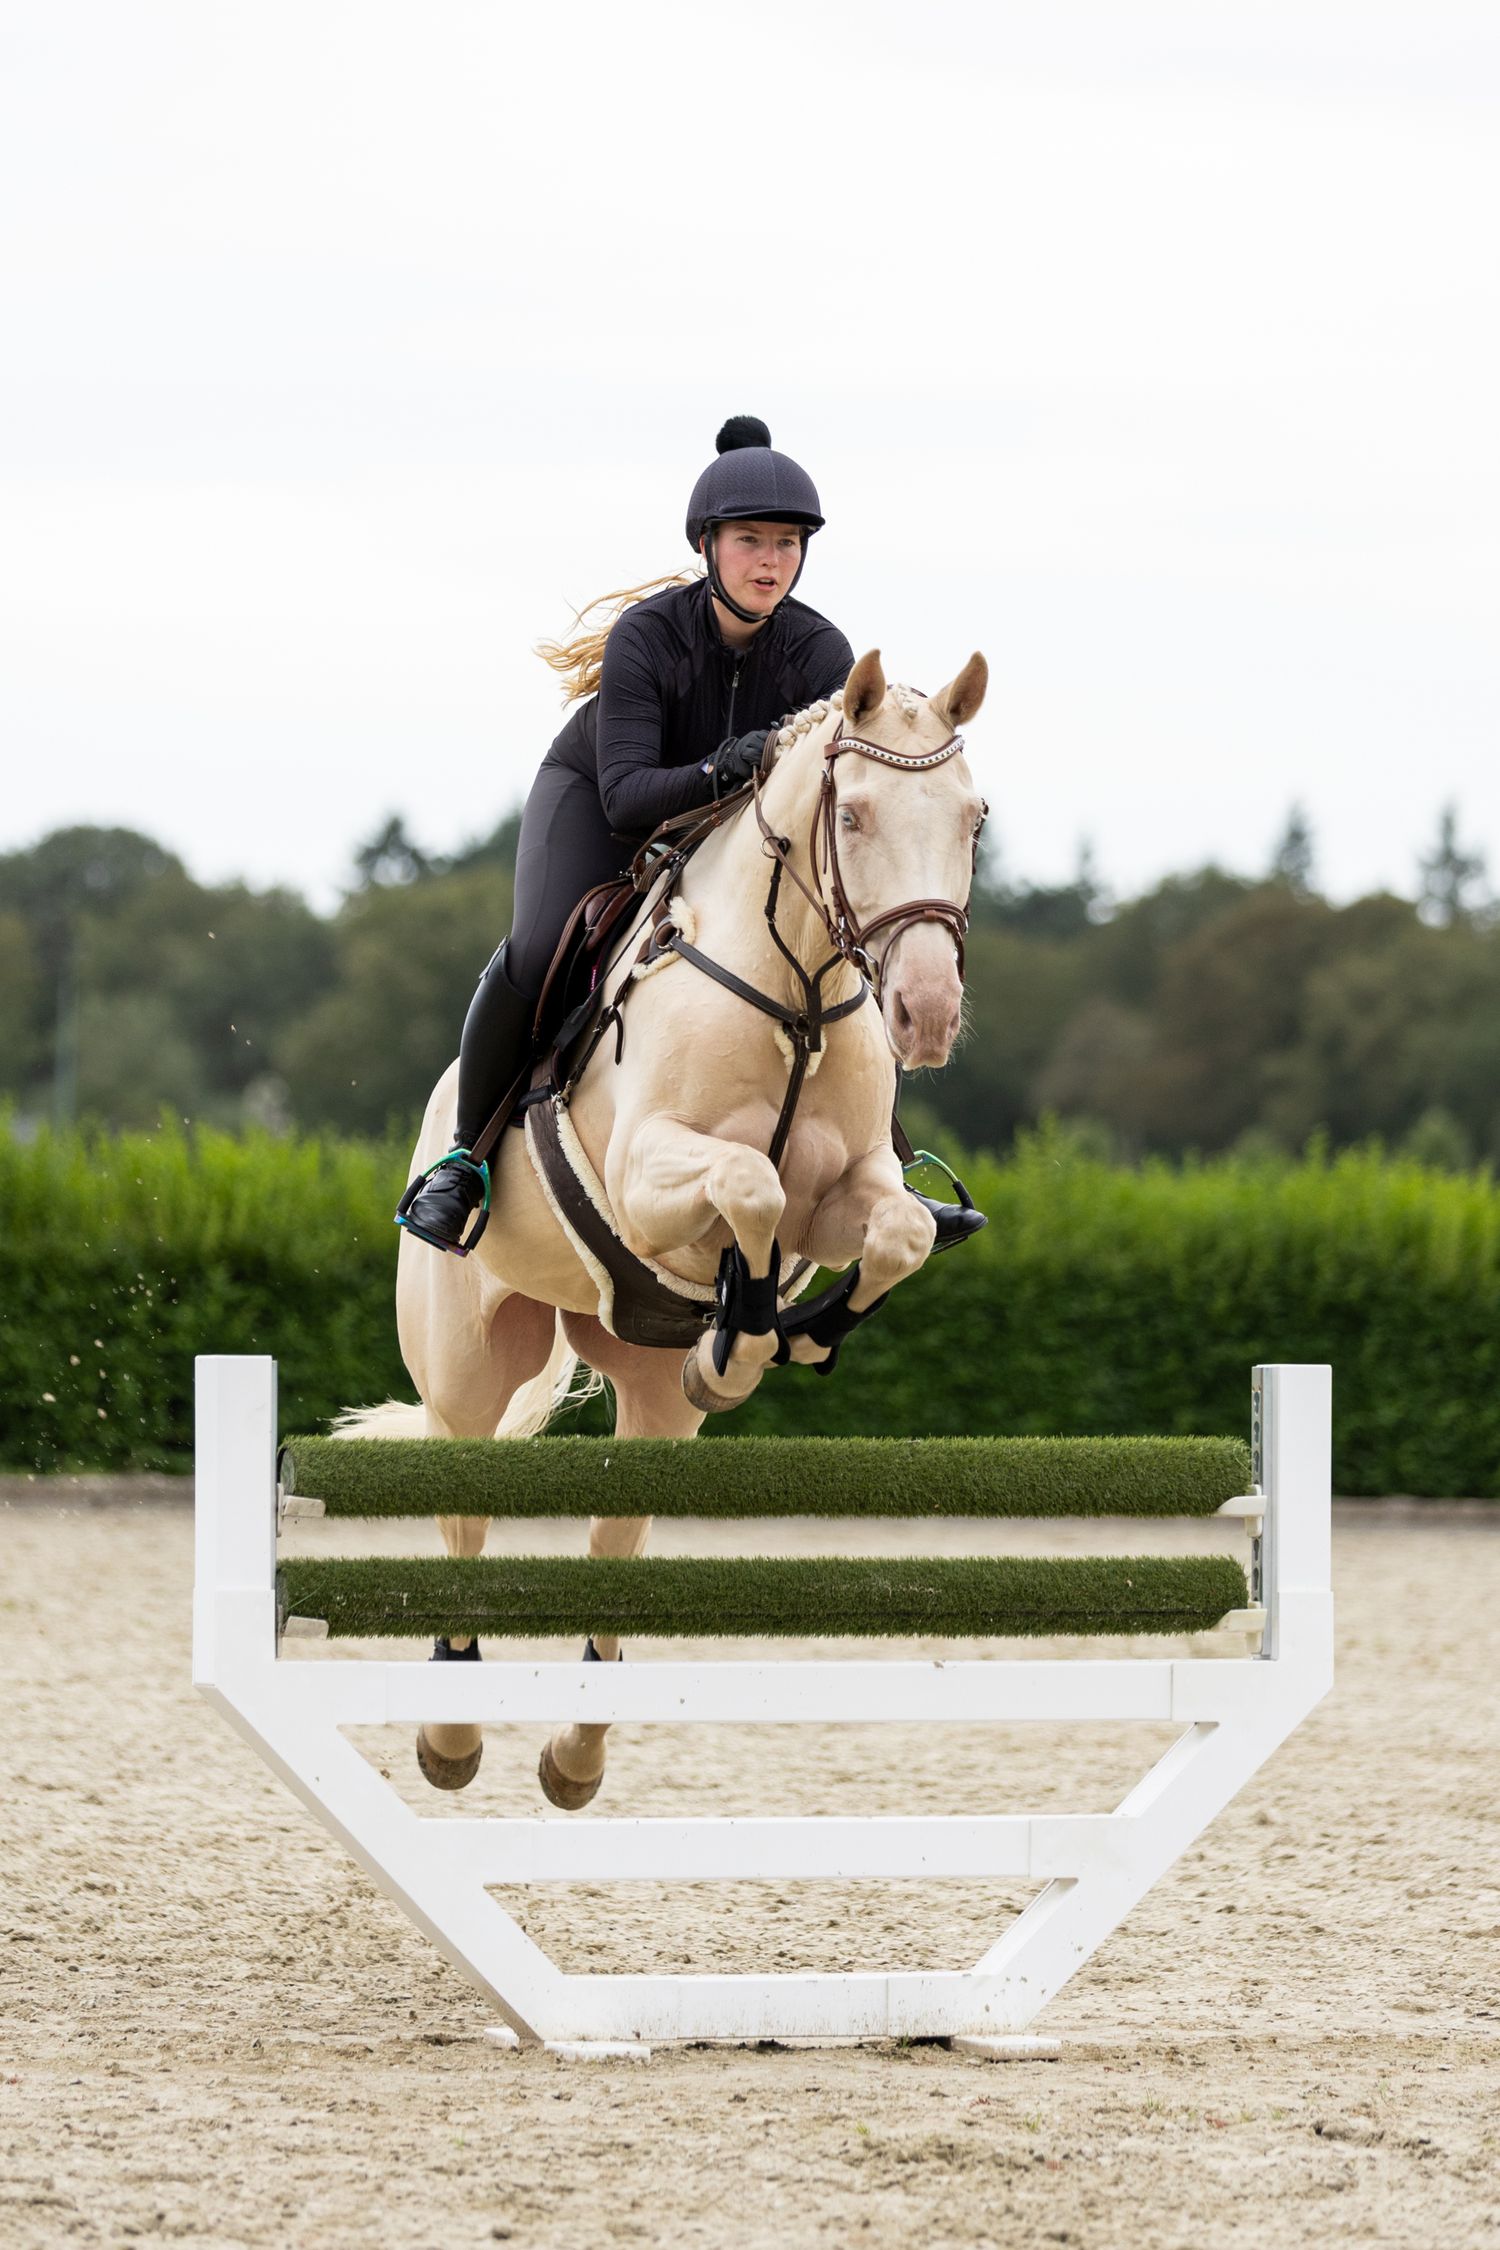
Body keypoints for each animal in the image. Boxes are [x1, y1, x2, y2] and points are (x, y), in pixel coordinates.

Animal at [339, 647, 988, 1807]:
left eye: (974, 818)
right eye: (853, 815)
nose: (926, 1016)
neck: (794, 994)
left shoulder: (853, 1190)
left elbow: (895, 1235)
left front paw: (787, 1332)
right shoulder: (648, 1178)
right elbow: (749, 1183)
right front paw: (747, 1328)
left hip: (645, 1396)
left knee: (619, 1532)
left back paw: (575, 1753)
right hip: (467, 1371)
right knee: (465, 1501)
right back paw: (451, 1735)